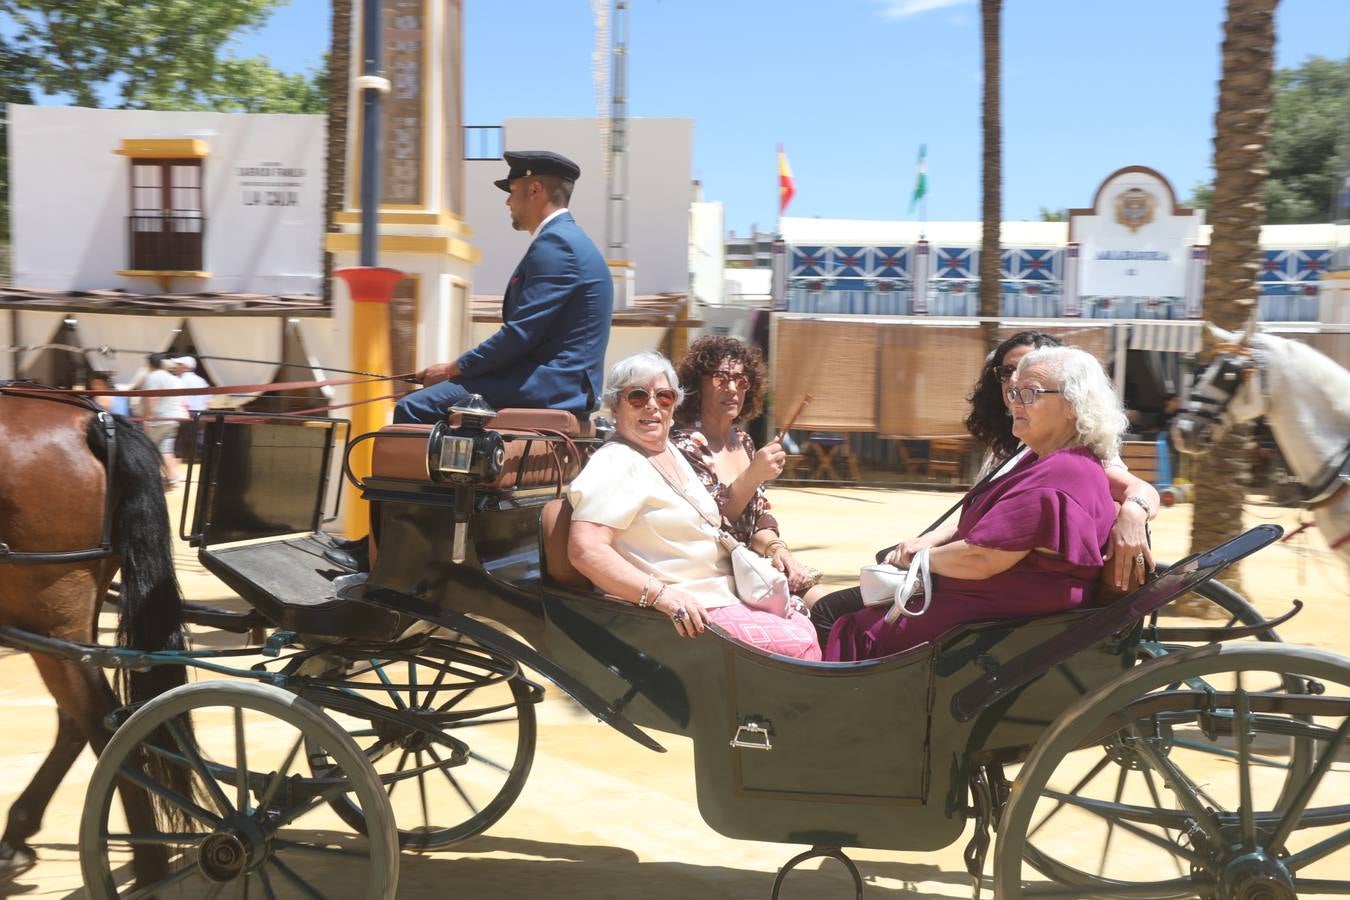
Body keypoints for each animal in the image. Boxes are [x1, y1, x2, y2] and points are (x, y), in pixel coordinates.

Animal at [0, 388, 193, 885]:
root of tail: (94, 421)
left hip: (50, 619)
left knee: (100, 722)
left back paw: (148, 865)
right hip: (61, 628)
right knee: (80, 720)